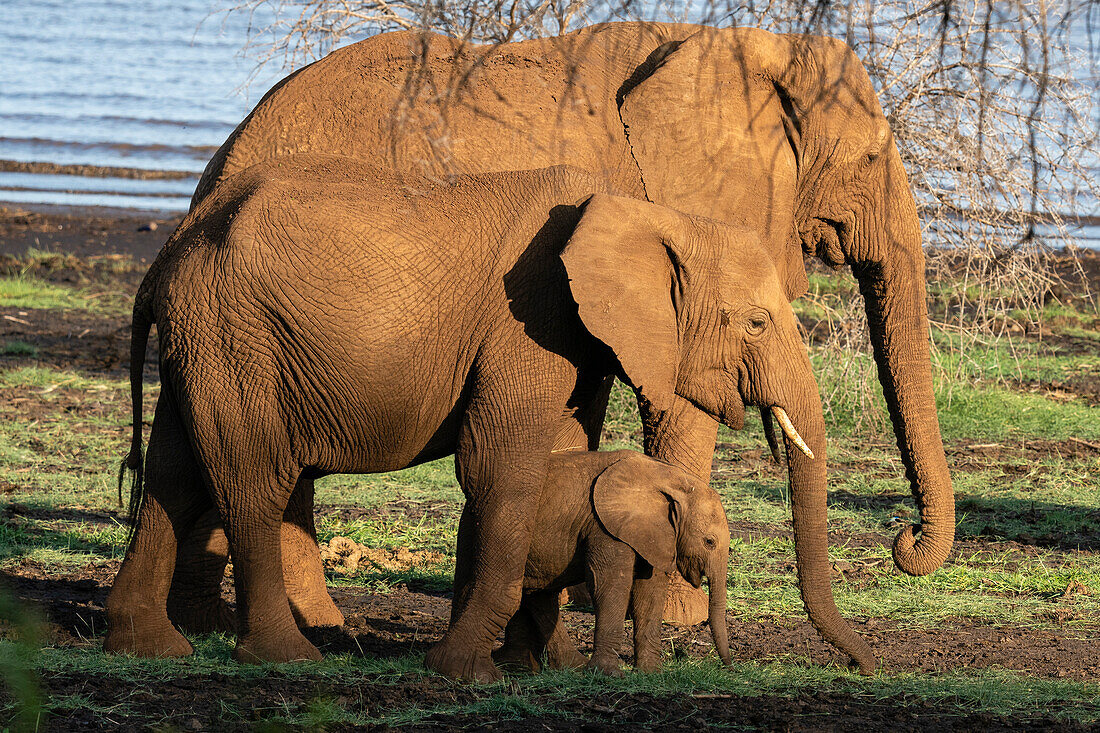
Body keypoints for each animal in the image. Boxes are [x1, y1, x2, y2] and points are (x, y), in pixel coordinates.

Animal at [171, 22, 954, 625]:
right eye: (872, 158)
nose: (904, 539)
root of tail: (223, 160)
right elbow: (680, 404)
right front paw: (674, 616)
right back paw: (311, 624)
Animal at [510, 444, 734, 673]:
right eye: (709, 542)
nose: (731, 667)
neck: (669, 476)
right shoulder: (603, 526)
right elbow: (609, 584)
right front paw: (607, 673)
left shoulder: (652, 532)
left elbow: (650, 589)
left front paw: (650, 673)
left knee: (538, 595)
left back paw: (572, 667)